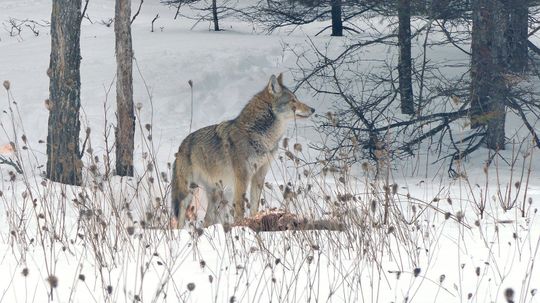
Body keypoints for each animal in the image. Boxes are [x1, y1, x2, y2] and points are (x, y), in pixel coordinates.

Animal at [168, 73, 312, 229]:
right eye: (293, 100)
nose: (313, 109)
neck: (261, 137)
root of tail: (181, 146)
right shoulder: (242, 177)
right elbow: (240, 208)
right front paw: (241, 226)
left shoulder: (259, 176)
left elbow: (254, 206)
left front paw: (256, 220)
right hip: (187, 193)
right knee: (179, 219)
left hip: (217, 195)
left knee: (207, 220)